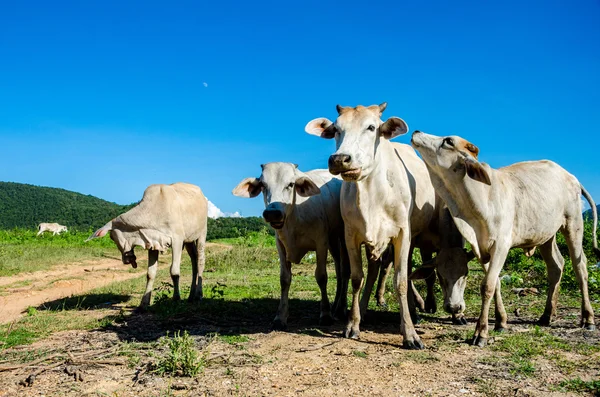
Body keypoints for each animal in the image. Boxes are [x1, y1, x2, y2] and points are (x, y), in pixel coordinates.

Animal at [232, 161, 350, 328]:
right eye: (263, 185)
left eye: (291, 184)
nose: (273, 213)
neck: (294, 217)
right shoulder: (281, 246)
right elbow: (284, 279)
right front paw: (280, 316)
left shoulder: (321, 243)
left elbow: (321, 277)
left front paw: (325, 314)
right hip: (333, 240)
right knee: (339, 271)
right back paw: (336, 306)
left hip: (342, 237)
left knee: (345, 271)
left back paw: (340, 309)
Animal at [308, 103, 438, 348]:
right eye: (336, 129)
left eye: (371, 127)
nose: (339, 159)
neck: (371, 194)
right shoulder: (350, 235)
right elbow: (356, 278)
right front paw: (353, 323)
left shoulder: (403, 235)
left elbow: (401, 281)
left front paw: (410, 333)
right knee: (373, 270)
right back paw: (364, 309)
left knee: (404, 271)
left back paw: (414, 310)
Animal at [412, 129, 600, 344]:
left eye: (448, 141)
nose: (416, 132)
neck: (480, 198)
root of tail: (570, 176)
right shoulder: (481, 248)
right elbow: (496, 283)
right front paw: (500, 322)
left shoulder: (501, 245)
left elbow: (487, 286)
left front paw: (481, 332)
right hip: (546, 235)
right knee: (556, 266)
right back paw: (547, 315)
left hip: (573, 224)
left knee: (580, 267)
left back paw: (588, 318)